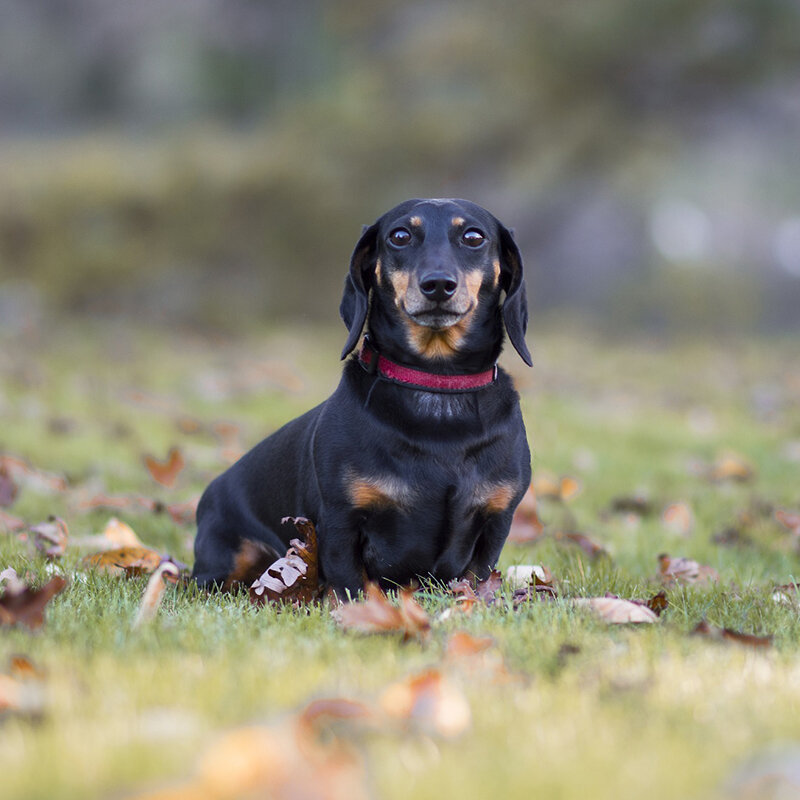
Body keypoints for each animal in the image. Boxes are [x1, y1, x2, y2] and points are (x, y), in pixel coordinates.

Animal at [189, 198, 532, 600]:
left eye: (474, 237)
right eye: (399, 236)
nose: (437, 285)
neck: (436, 384)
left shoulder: (496, 521)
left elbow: (476, 579)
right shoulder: (341, 520)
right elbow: (351, 586)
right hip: (225, 559)